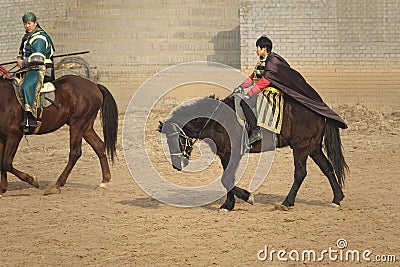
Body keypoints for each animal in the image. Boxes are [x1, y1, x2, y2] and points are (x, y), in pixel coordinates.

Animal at [159, 95, 346, 213]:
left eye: (176, 137)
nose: (176, 165)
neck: (216, 120)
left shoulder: (234, 154)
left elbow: (226, 179)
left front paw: (248, 197)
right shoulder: (226, 154)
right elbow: (228, 179)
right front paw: (228, 204)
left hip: (301, 146)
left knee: (300, 173)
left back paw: (287, 202)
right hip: (313, 147)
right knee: (327, 168)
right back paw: (337, 198)